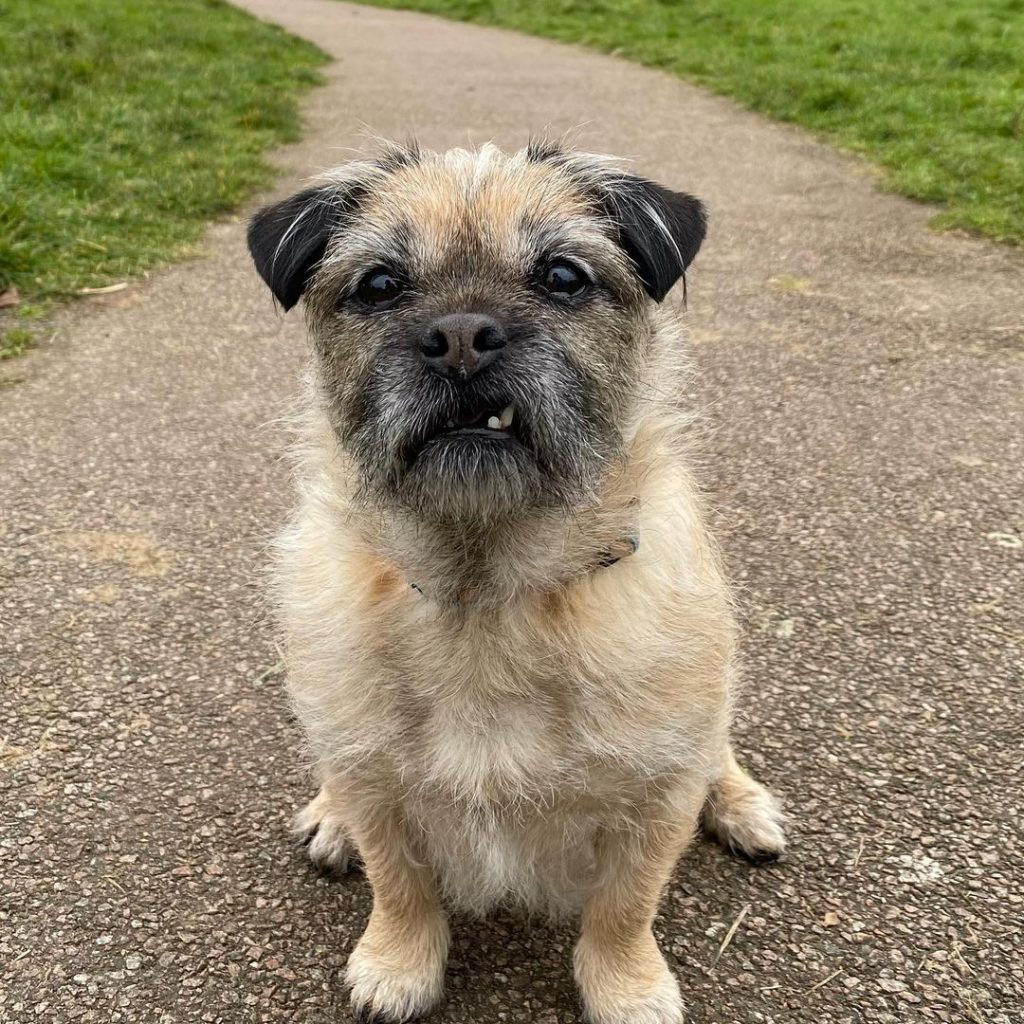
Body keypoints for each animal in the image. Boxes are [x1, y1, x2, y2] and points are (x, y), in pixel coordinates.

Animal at [245, 138, 782, 1024]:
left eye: (563, 276)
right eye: (380, 284)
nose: (462, 335)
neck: (486, 595)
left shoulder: (657, 794)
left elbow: (626, 905)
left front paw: (627, 989)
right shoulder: (374, 782)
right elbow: (399, 882)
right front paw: (397, 966)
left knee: (720, 750)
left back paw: (743, 806)